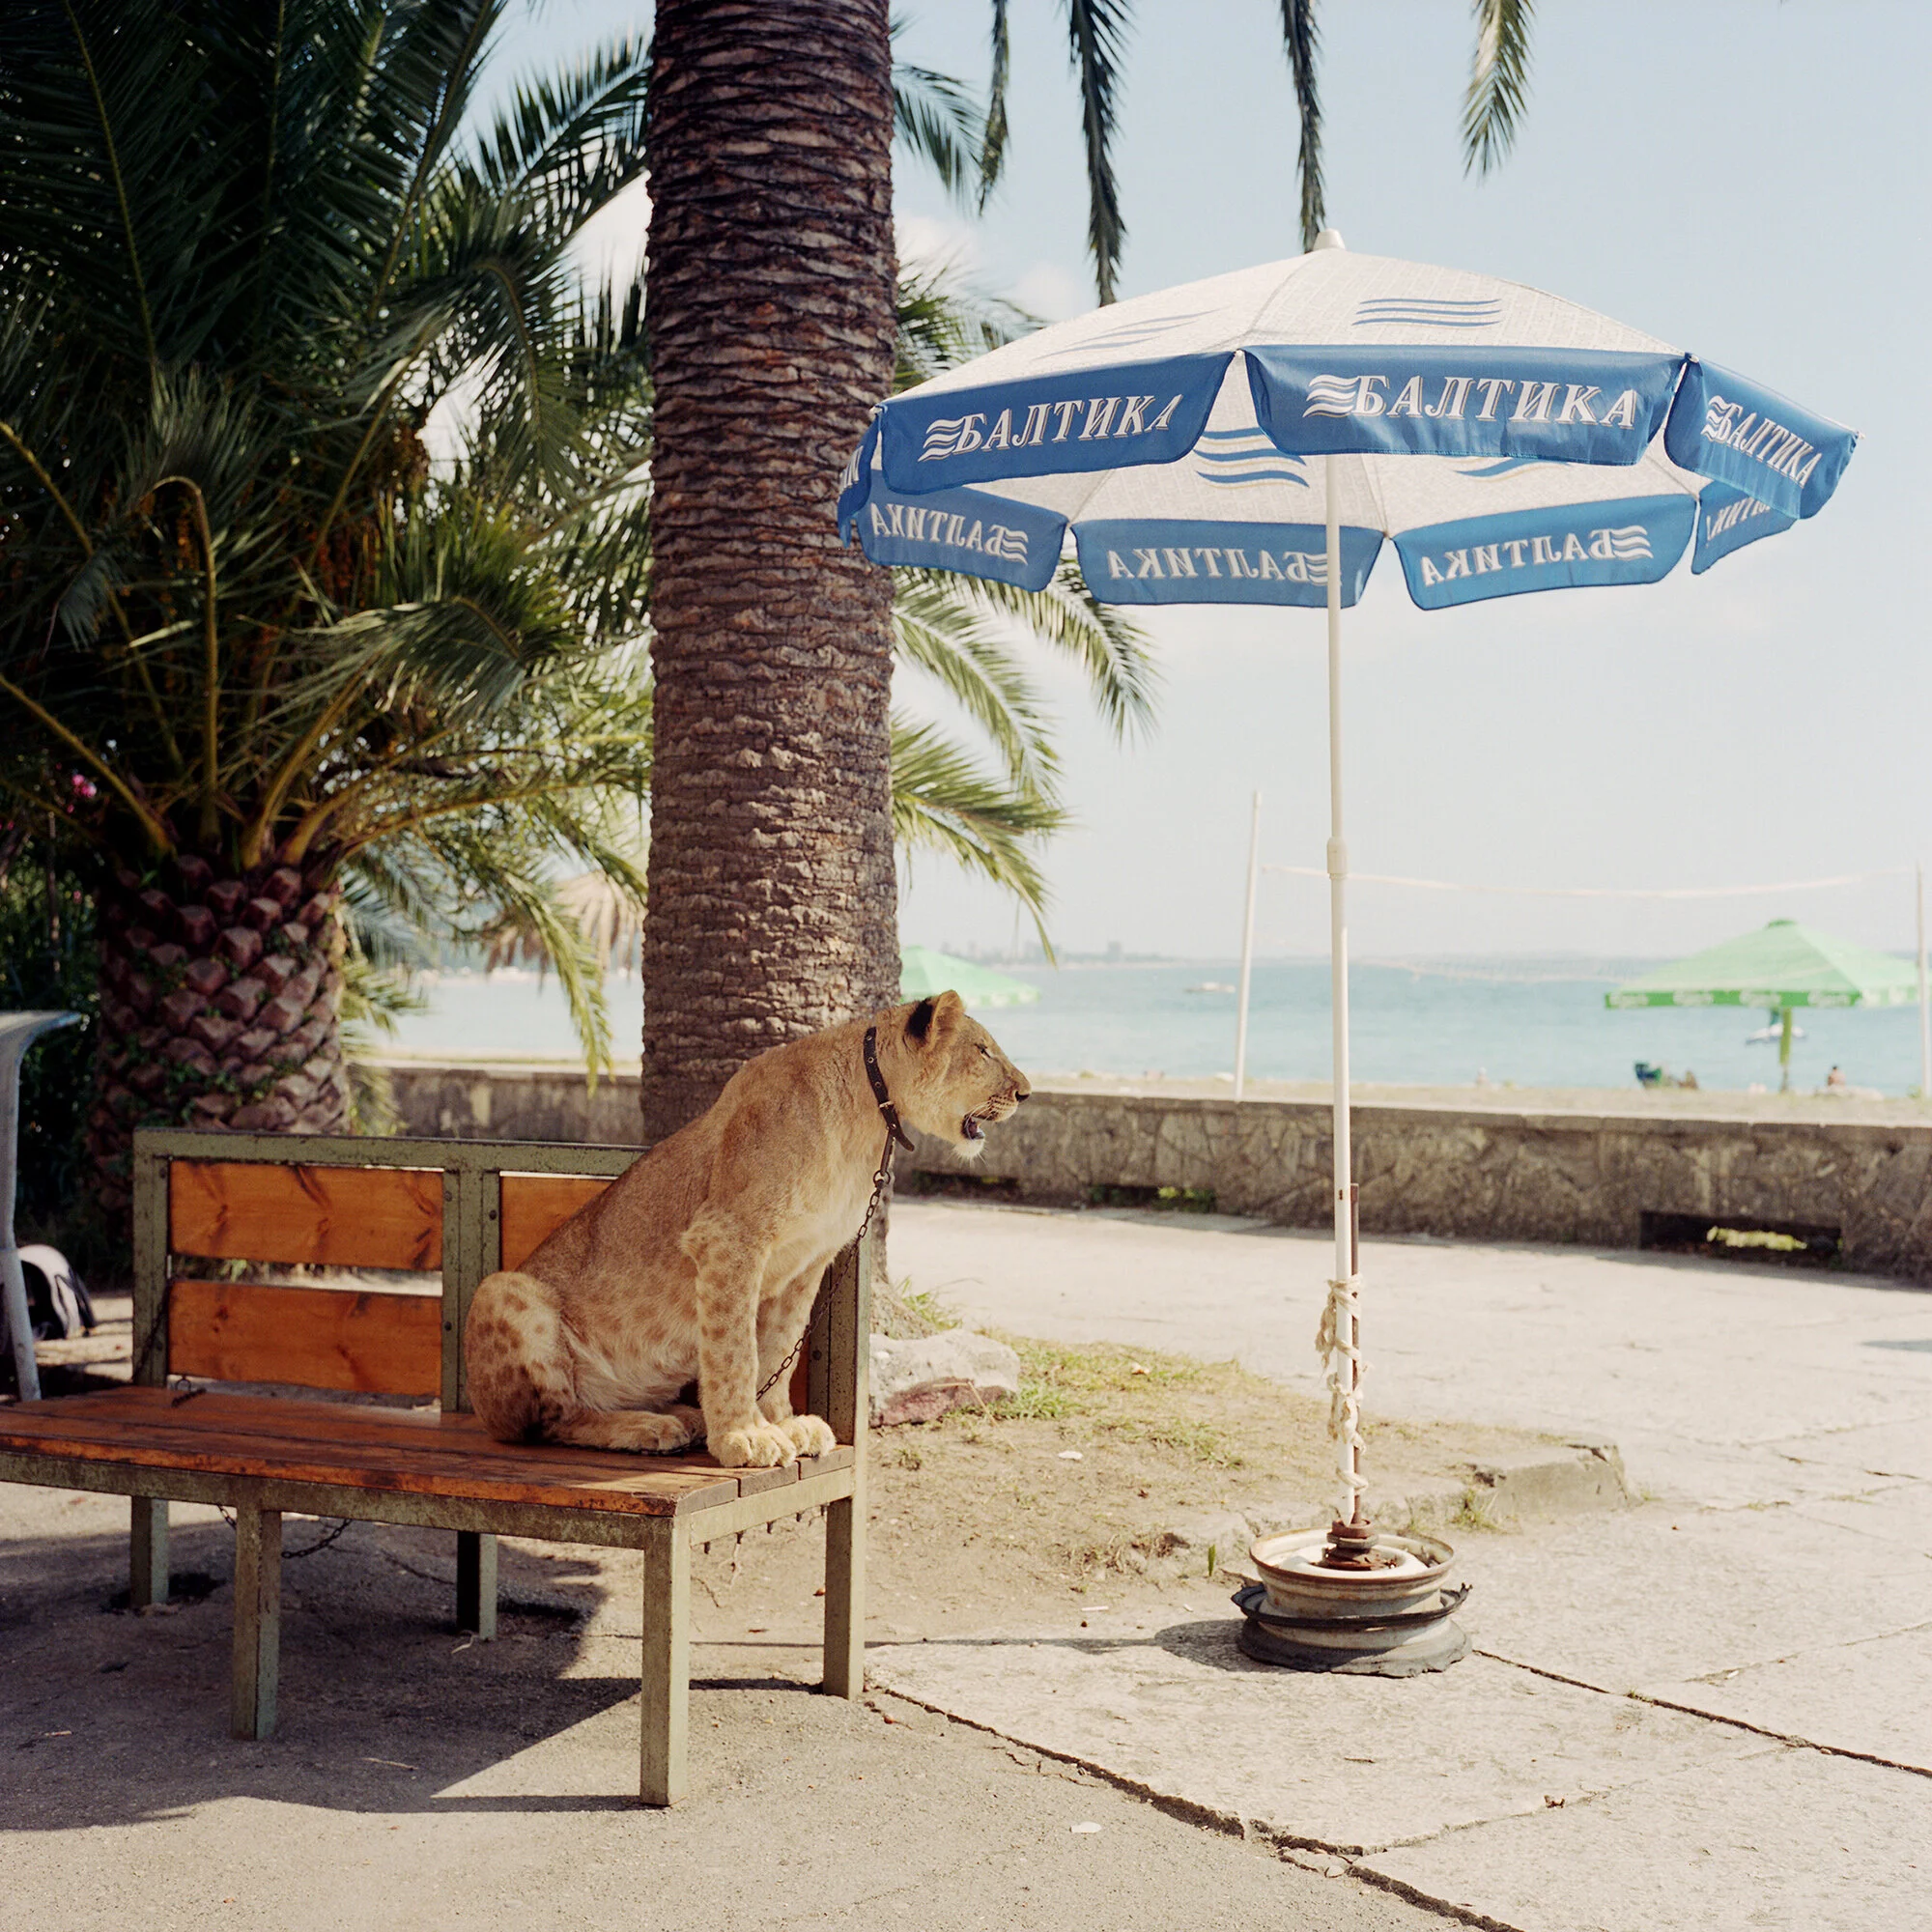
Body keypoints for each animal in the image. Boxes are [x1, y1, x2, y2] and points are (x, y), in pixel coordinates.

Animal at [463, 991, 1030, 1468]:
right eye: (983, 1051)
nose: (1026, 1092)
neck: (867, 1118)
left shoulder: (810, 1257)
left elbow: (780, 1345)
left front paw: (781, 1422)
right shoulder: (728, 1238)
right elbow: (736, 1349)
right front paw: (744, 1435)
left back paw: (683, 1415)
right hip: (502, 1290)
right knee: (550, 1422)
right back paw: (650, 1427)